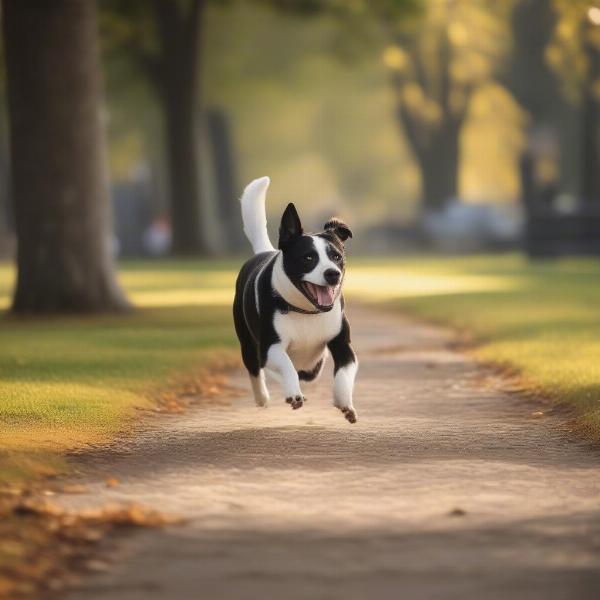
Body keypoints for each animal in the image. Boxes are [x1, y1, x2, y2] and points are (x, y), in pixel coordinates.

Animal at [232, 176, 358, 424]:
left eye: (336, 256)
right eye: (308, 258)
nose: (332, 273)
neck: (306, 311)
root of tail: (263, 251)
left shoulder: (343, 345)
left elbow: (344, 375)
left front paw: (345, 404)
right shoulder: (271, 346)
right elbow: (286, 365)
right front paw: (293, 394)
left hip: (312, 366)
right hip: (248, 344)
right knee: (257, 368)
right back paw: (263, 397)